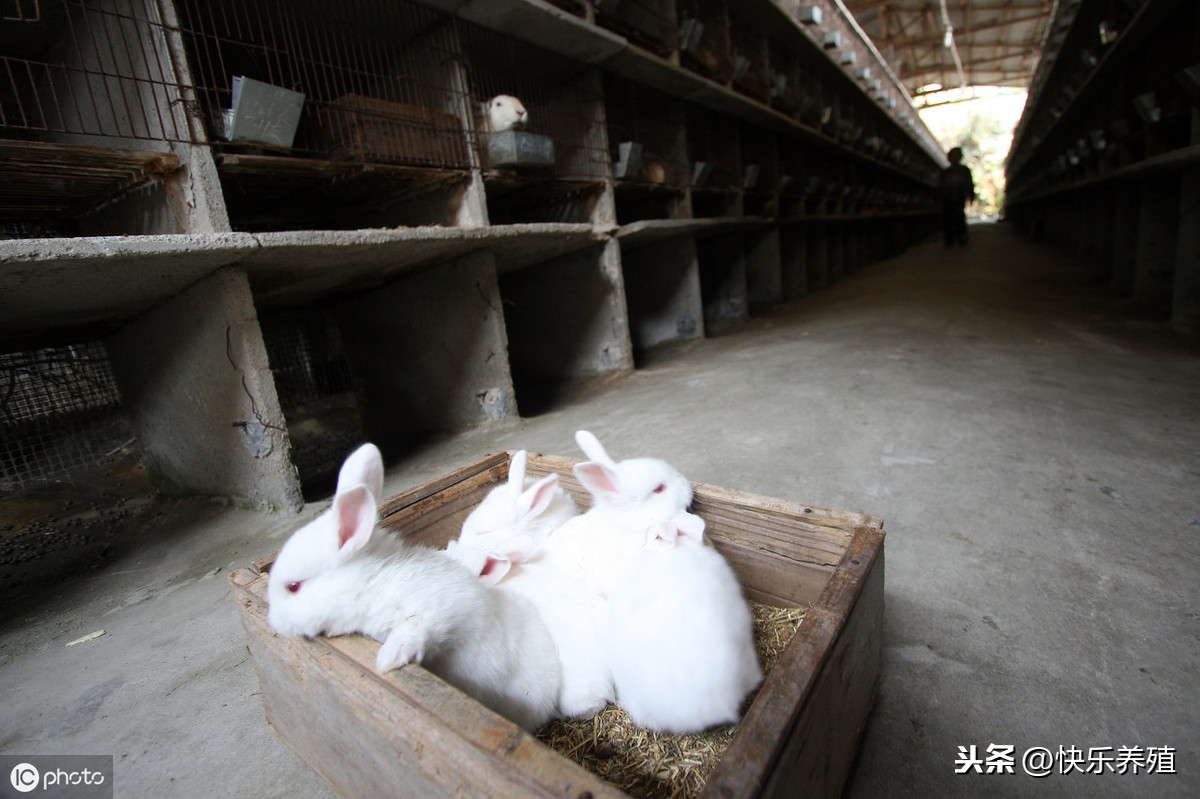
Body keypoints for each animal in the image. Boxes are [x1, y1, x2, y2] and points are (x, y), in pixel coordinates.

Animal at [270, 441, 559, 729]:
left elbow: (419, 626)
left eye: (293, 586)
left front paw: (390, 657)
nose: (274, 623)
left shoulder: (445, 607)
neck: (374, 583)